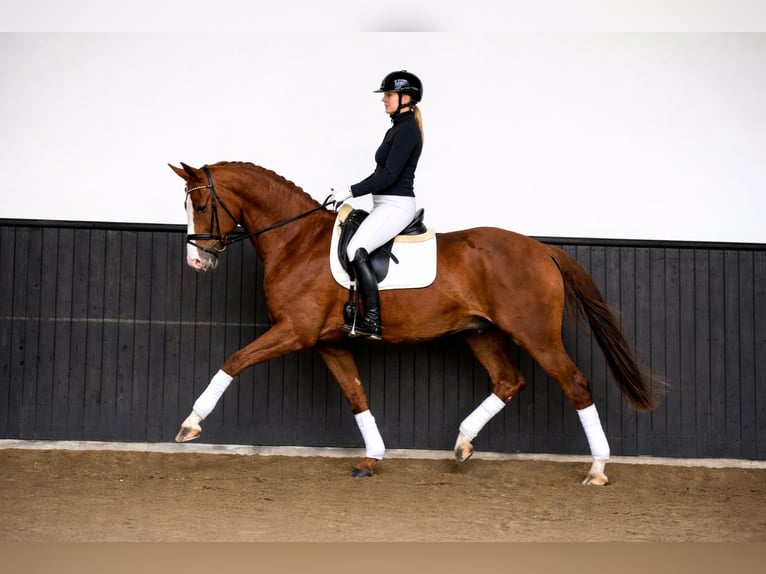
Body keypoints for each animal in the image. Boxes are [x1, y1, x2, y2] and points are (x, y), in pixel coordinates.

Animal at [170, 160, 661, 485]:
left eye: (201, 203)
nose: (196, 262)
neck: (297, 241)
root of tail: (542, 248)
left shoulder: (295, 332)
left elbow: (233, 361)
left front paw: (190, 425)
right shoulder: (329, 343)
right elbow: (357, 395)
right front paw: (372, 457)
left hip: (536, 334)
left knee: (574, 384)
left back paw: (597, 469)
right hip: (481, 334)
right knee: (509, 381)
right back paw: (462, 443)